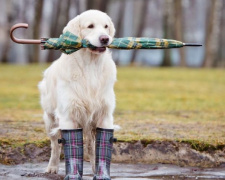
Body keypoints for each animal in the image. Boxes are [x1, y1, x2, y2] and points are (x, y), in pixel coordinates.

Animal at [38, 10, 116, 174]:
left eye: (106, 26)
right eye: (90, 26)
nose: (105, 39)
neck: (91, 65)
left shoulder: (104, 115)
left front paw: (101, 172)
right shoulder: (69, 115)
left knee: (91, 146)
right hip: (50, 119)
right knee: (55, 145)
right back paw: (52, 167)